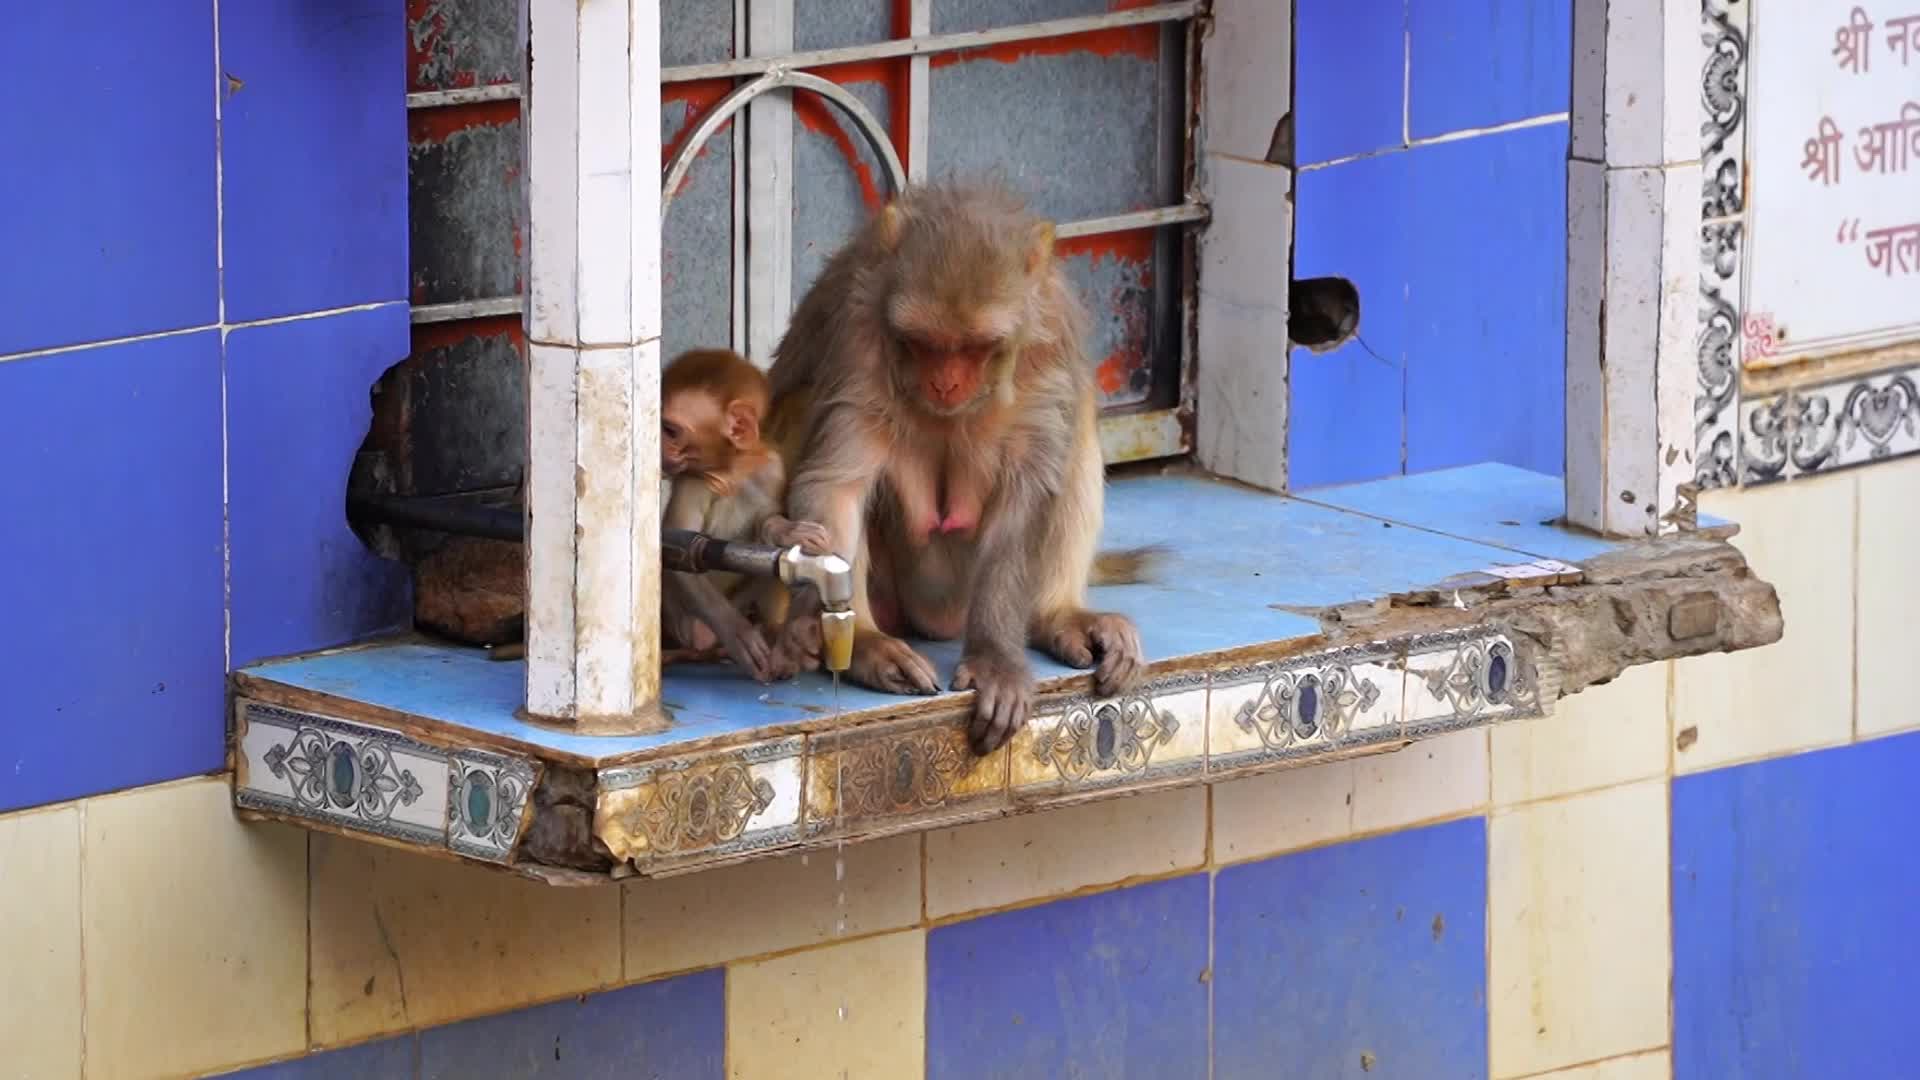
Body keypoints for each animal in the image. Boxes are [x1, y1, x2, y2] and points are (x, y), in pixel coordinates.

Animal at [659, 347, 832, 682]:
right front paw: (735, 631)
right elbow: (683, 547)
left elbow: (769, 520)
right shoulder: (692, 482)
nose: (657, 448)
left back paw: (774, 633)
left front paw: (788, 531)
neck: (733, 470)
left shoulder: (771, 468)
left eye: (670, 431)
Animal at [766, 181, 1149, 754]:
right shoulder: (859, 339)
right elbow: (838, 486)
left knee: (1077, 415)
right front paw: (866, 646)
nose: (945, 383)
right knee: (801, 401)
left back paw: (1054, 615)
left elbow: (1027, 495)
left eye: (976, 346)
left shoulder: (1044, 350)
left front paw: (995, 658)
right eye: (923, 342)